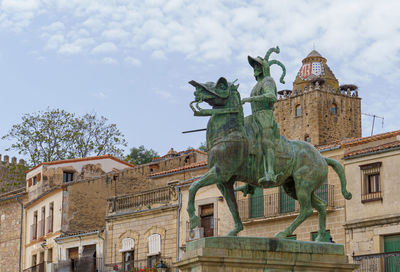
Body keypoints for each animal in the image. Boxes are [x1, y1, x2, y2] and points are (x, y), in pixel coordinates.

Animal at [186, 76, 352, 242]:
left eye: (221, 85)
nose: (196, 90)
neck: (230, 133)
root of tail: (322, 158)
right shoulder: (224, 182)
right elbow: (233, 207)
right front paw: (235, 231)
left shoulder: (221, 173)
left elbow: (193, 186)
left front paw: (193, 218)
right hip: (292, 187)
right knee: (321, 205)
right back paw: (320, 238)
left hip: (303, 185)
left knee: (306, 210)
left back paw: (283, 234)